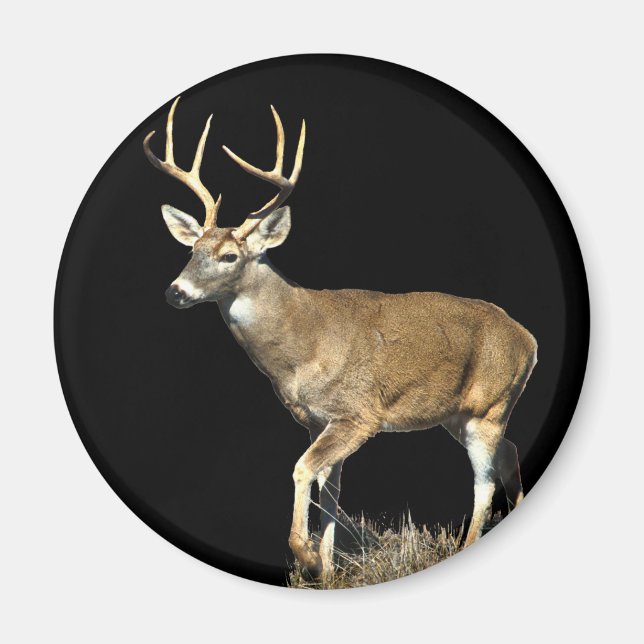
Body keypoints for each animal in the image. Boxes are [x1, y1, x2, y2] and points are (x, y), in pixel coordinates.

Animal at [143, 96, 538, 582]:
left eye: (230, 255)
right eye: (191, 250)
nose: (175, 292)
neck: (302, 348)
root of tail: (529, 339)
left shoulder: (358, 414)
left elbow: (302, 470)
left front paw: (309, 557)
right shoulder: (316, 420)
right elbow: (329, 489)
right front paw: (329, 570)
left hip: (490, 403)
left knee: (484, 478)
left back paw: (466, 545)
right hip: (457, 414)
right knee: (510, 451)